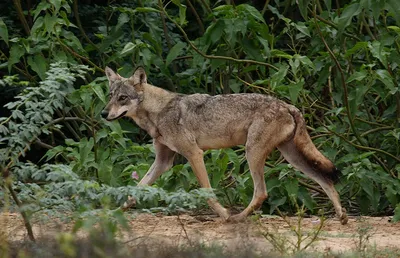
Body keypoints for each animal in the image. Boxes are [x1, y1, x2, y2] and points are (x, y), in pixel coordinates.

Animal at [101, 67, 348, 226]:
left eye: (123, 98)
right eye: (110, 95)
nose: (103, 113)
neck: (158, 112)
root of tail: (288, 105)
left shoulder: (194, 154)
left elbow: (207, 193)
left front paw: (224, 215)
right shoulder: (163, 162)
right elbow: (134, 191)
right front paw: (112, 213)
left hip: (253, 154)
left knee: (261, 193)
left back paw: (237, 219)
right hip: (291, 158)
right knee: (325, 180)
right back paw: (342, 216)